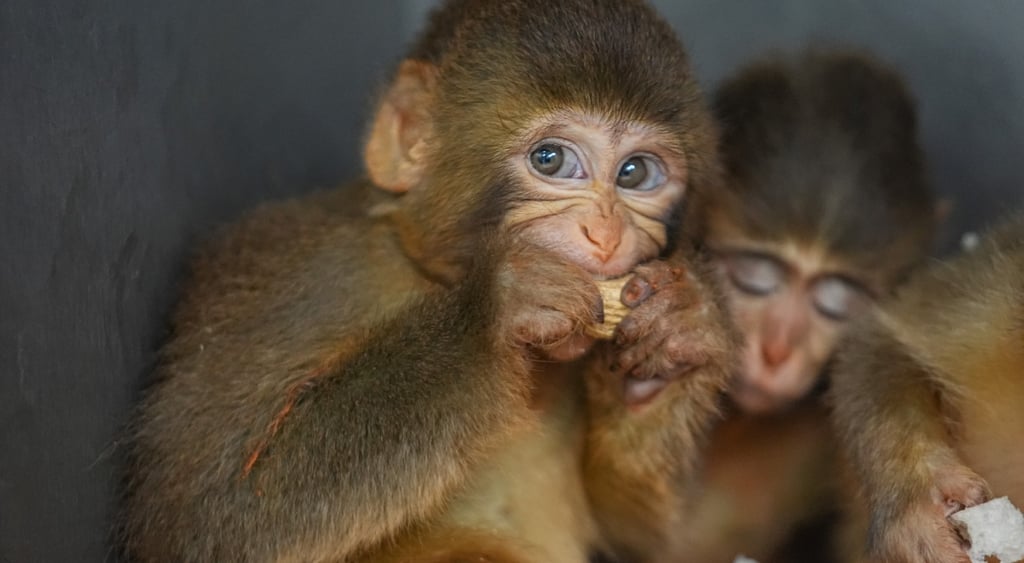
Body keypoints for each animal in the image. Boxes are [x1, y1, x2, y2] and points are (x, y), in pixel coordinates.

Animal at [118, 1, 736, 561]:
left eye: (636, 172)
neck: (424, 274)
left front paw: (679, 326)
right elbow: (207, 519)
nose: (605, 233)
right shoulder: (294, 273)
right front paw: (490, 314)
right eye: (551, 160)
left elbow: (638, 538)